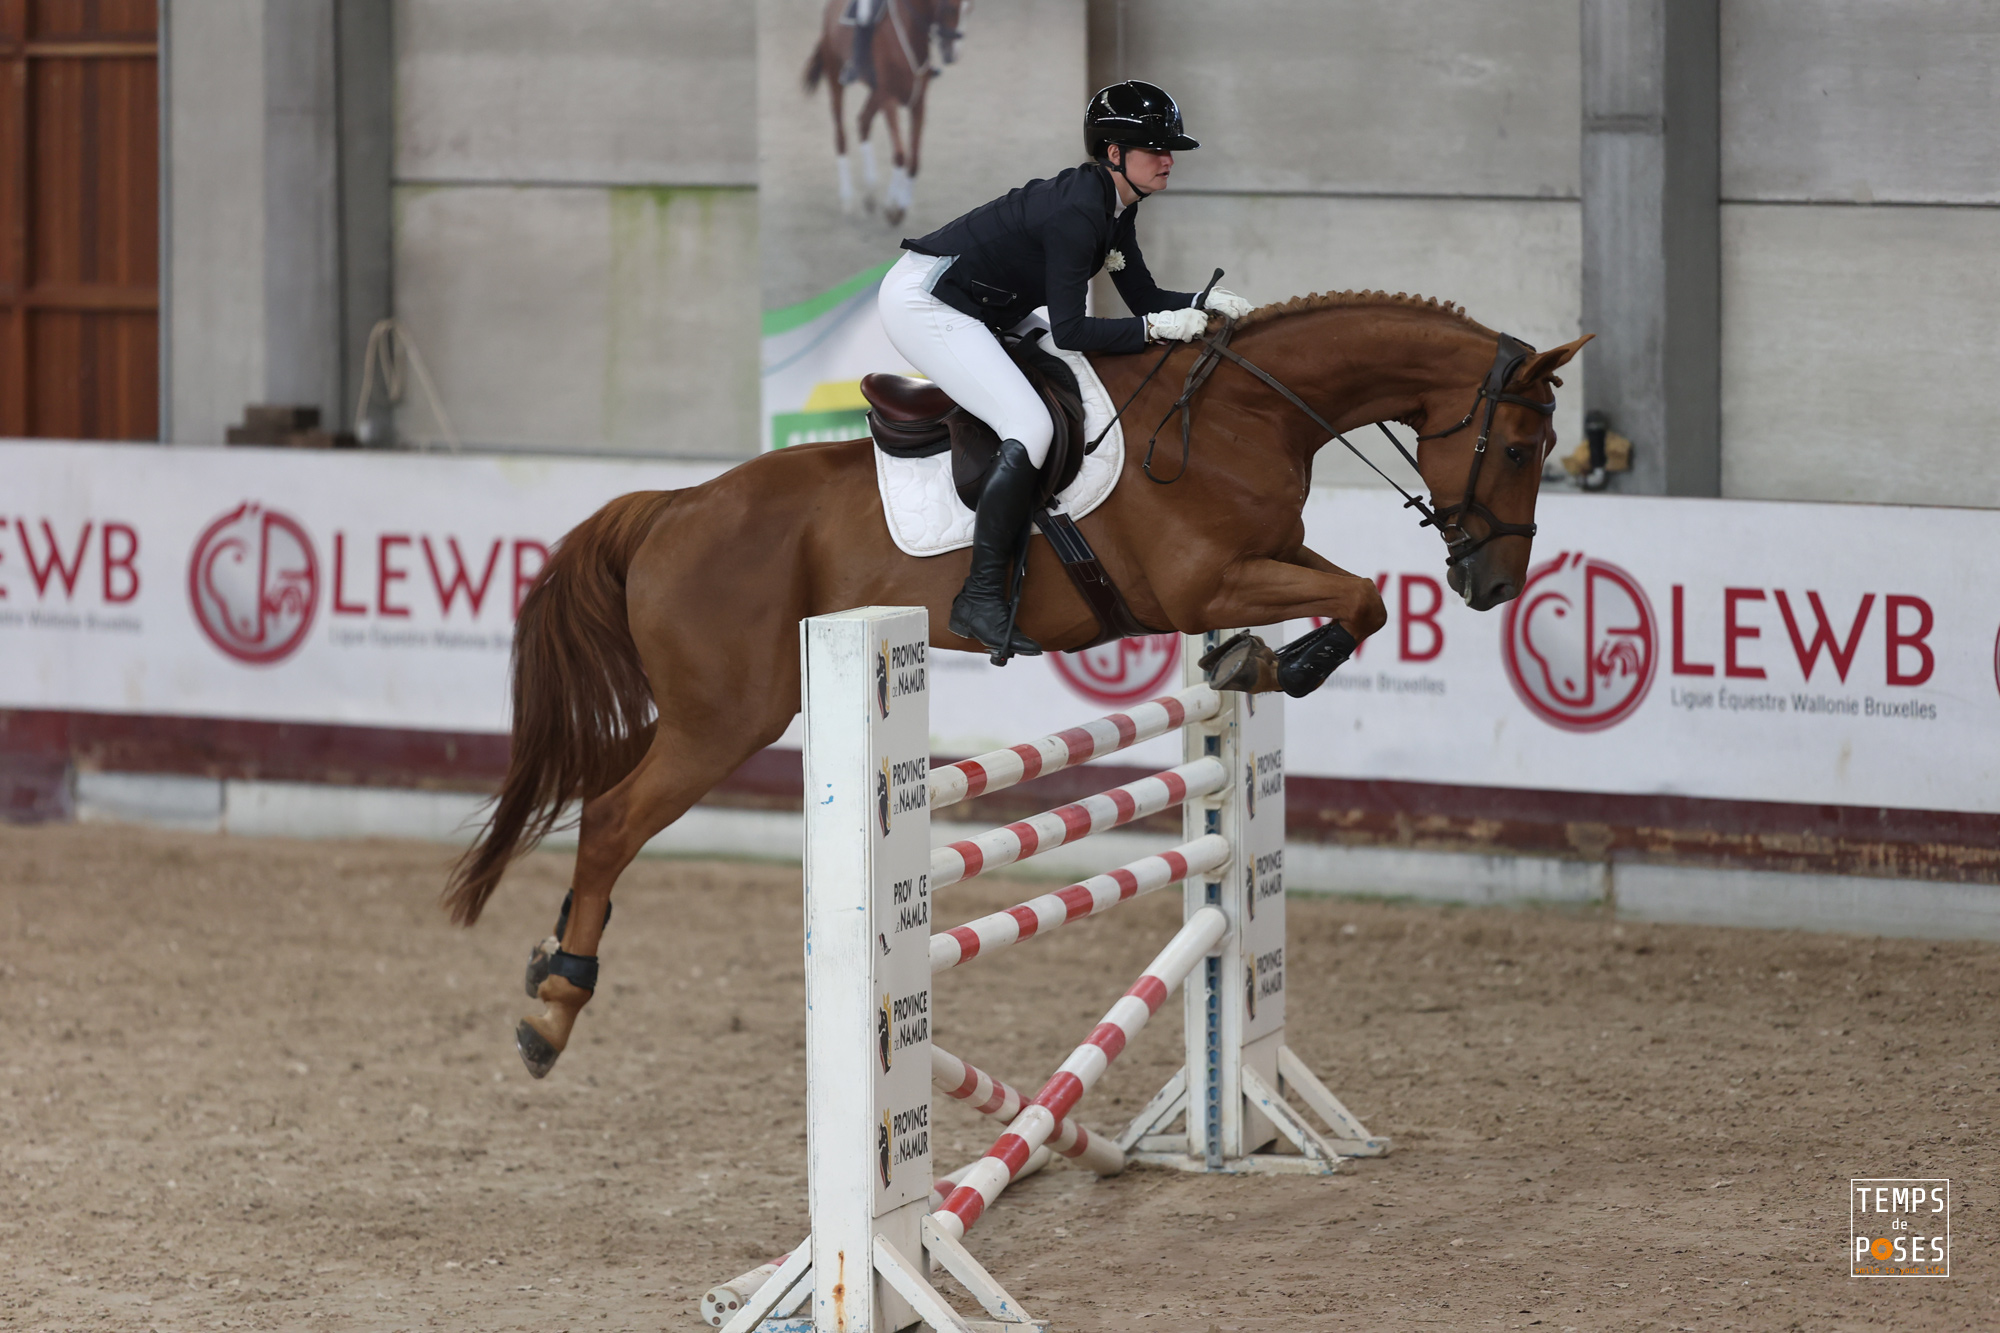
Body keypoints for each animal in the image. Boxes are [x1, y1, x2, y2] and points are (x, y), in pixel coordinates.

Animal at [447, 291, 1588, 1076]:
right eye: (1519, 445)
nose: (1491, 585)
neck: (1240, 416)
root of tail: (673, 507)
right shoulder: (1202, 580)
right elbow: (1364, 596)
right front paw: (1279, 662)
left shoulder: (1263, 559)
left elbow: (1355, 593)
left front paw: (1250, 660)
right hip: (723, 717)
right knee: (609, 819)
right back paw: (553, 1007)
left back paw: (548, 975)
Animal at [803, 0, 965, 224]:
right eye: (949, 8)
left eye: (969, 9)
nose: (954, 55)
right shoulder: (890, 99)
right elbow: (900, 155)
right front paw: (892, 207)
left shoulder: (918, 102)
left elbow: (914, 162)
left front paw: (901, 205)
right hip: (836, 73)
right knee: (841, 135)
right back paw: (848, 198)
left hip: (875, 92)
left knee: (863, 121)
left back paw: (871, 192)